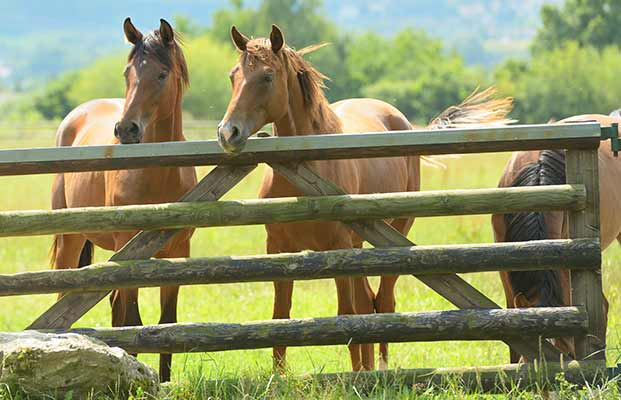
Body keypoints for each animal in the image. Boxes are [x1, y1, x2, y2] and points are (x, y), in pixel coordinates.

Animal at [49, 18, 195, 382]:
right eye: (128, 72)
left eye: (162, 74)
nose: (126, 129)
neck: (158, 172)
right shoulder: (129, 250)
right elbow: (132, 321)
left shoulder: (178, 253)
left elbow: (168, 324)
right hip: (71, 238)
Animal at [218, 23, 512, 370]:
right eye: (233, 75)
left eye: (267, 76)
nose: (228, 133)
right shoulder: (278, 250)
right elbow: (281, 318)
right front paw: (279, 377)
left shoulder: (339, 249)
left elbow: (346, 316)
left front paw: (357, 374)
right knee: (367, 300)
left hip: (392, 236)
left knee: (381, 301)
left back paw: (378, 368)